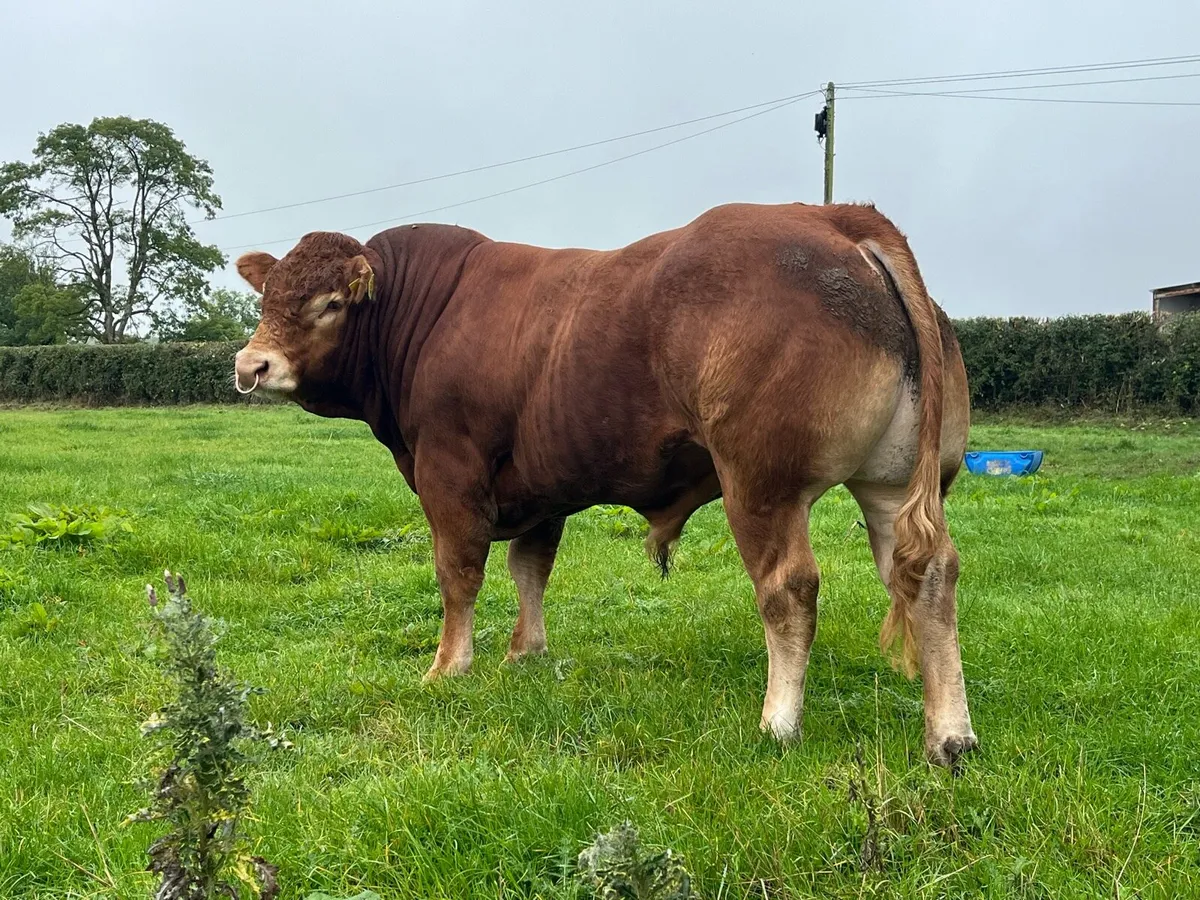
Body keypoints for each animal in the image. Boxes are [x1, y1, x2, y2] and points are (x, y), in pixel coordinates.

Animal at [233, 201, 976, 767]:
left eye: (330, 303)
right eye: (269, 297)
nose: (251, 365)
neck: (426, 313)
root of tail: (836, 218)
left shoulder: (449, 471)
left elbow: (459, 574)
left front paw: (449, 666)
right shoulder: (538, 487)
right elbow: (529, 568)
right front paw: (525, 654)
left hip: (761, 484)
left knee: (788, 589)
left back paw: (778, 722)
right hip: (892, 485)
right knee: (928, 573)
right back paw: (949, 735)